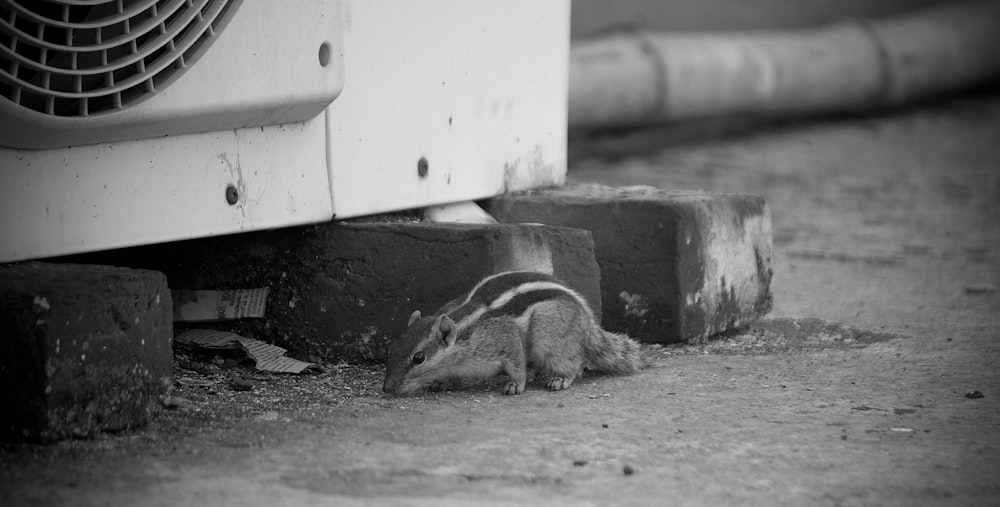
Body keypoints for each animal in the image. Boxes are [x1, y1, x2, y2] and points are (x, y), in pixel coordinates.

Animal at [382, 270, 640, 396]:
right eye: (392, 349)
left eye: (418, 357)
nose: (386, 389)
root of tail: (589, 323)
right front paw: (444, 383)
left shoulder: (504, 338)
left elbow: (516, 364)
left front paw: (516, 385)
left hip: (549, 334)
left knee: (574, 363)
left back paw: (560, 378)